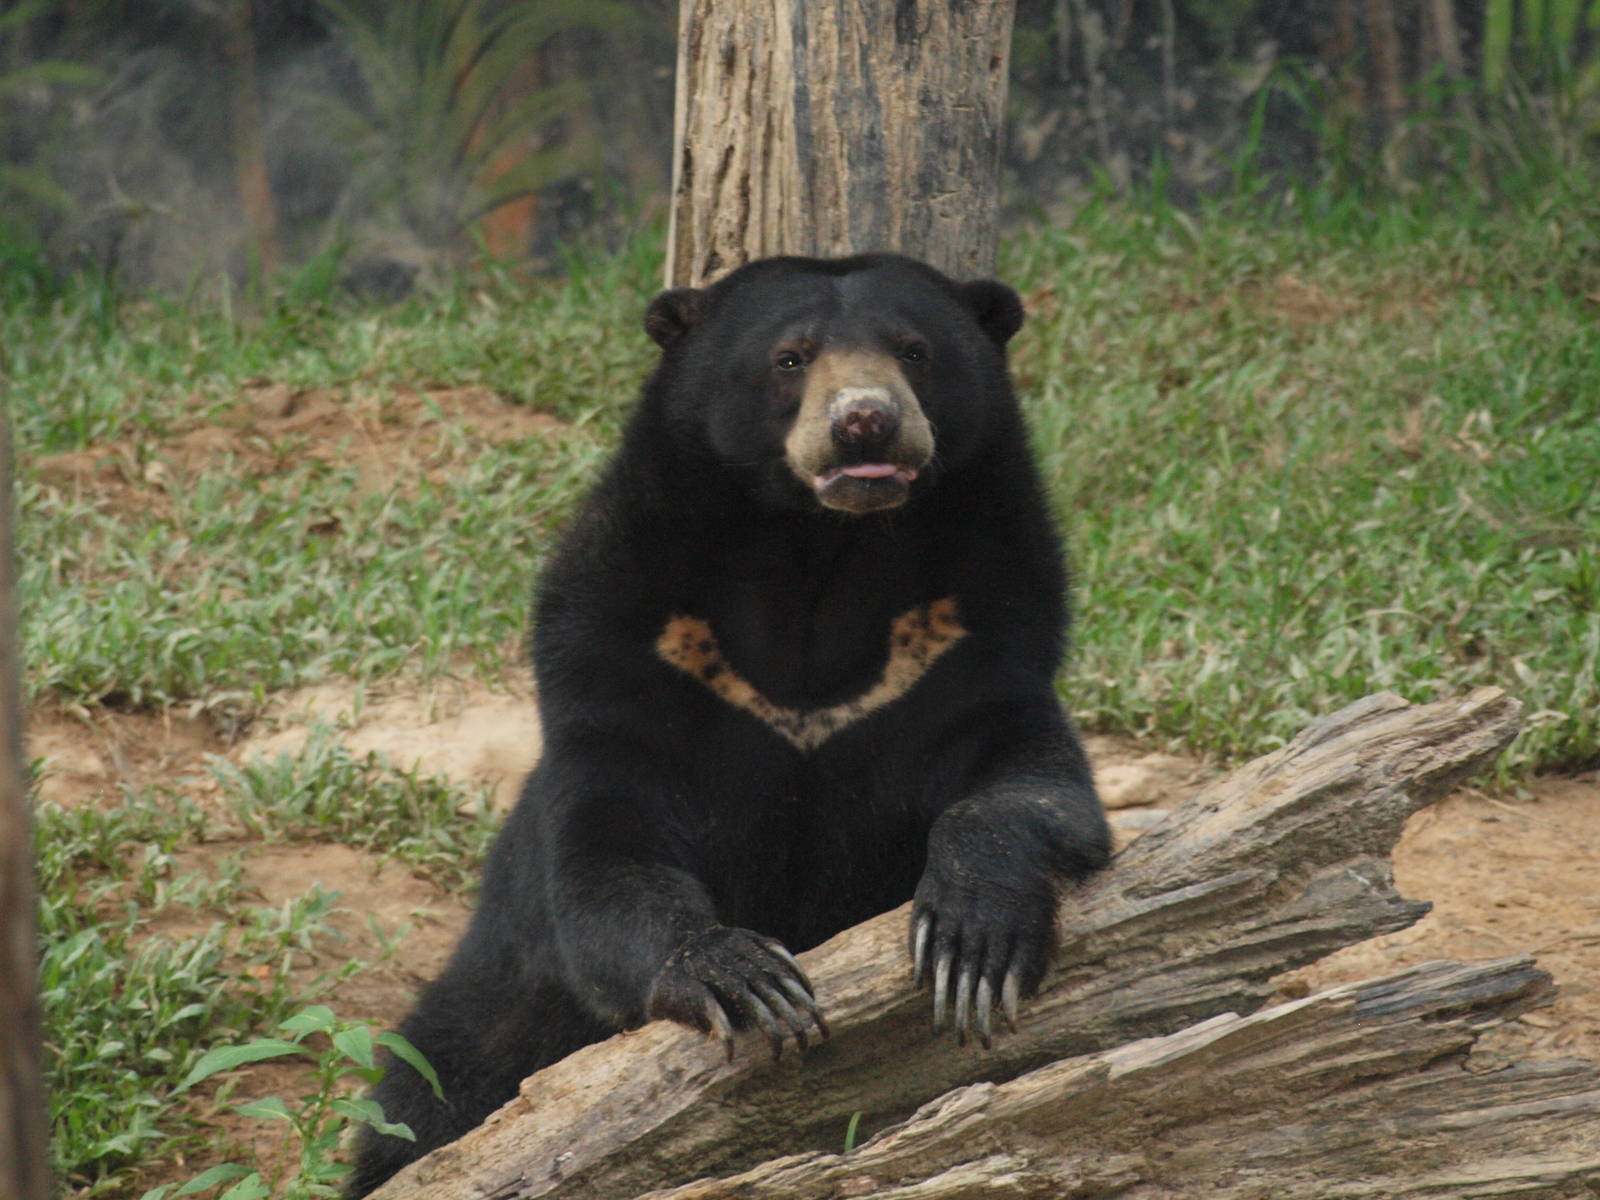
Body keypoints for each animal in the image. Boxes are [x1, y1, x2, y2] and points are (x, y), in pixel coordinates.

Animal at [346, 253, 1111, 1197]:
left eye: (914, 350)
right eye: (790, 358)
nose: (866, 422)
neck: (821, 559)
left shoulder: (971, 646)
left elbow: (1033, 785)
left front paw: (971, 943)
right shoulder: (628, 667)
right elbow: (604, 866)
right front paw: (742, 977)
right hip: (487, 1016)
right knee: (428, 1097)